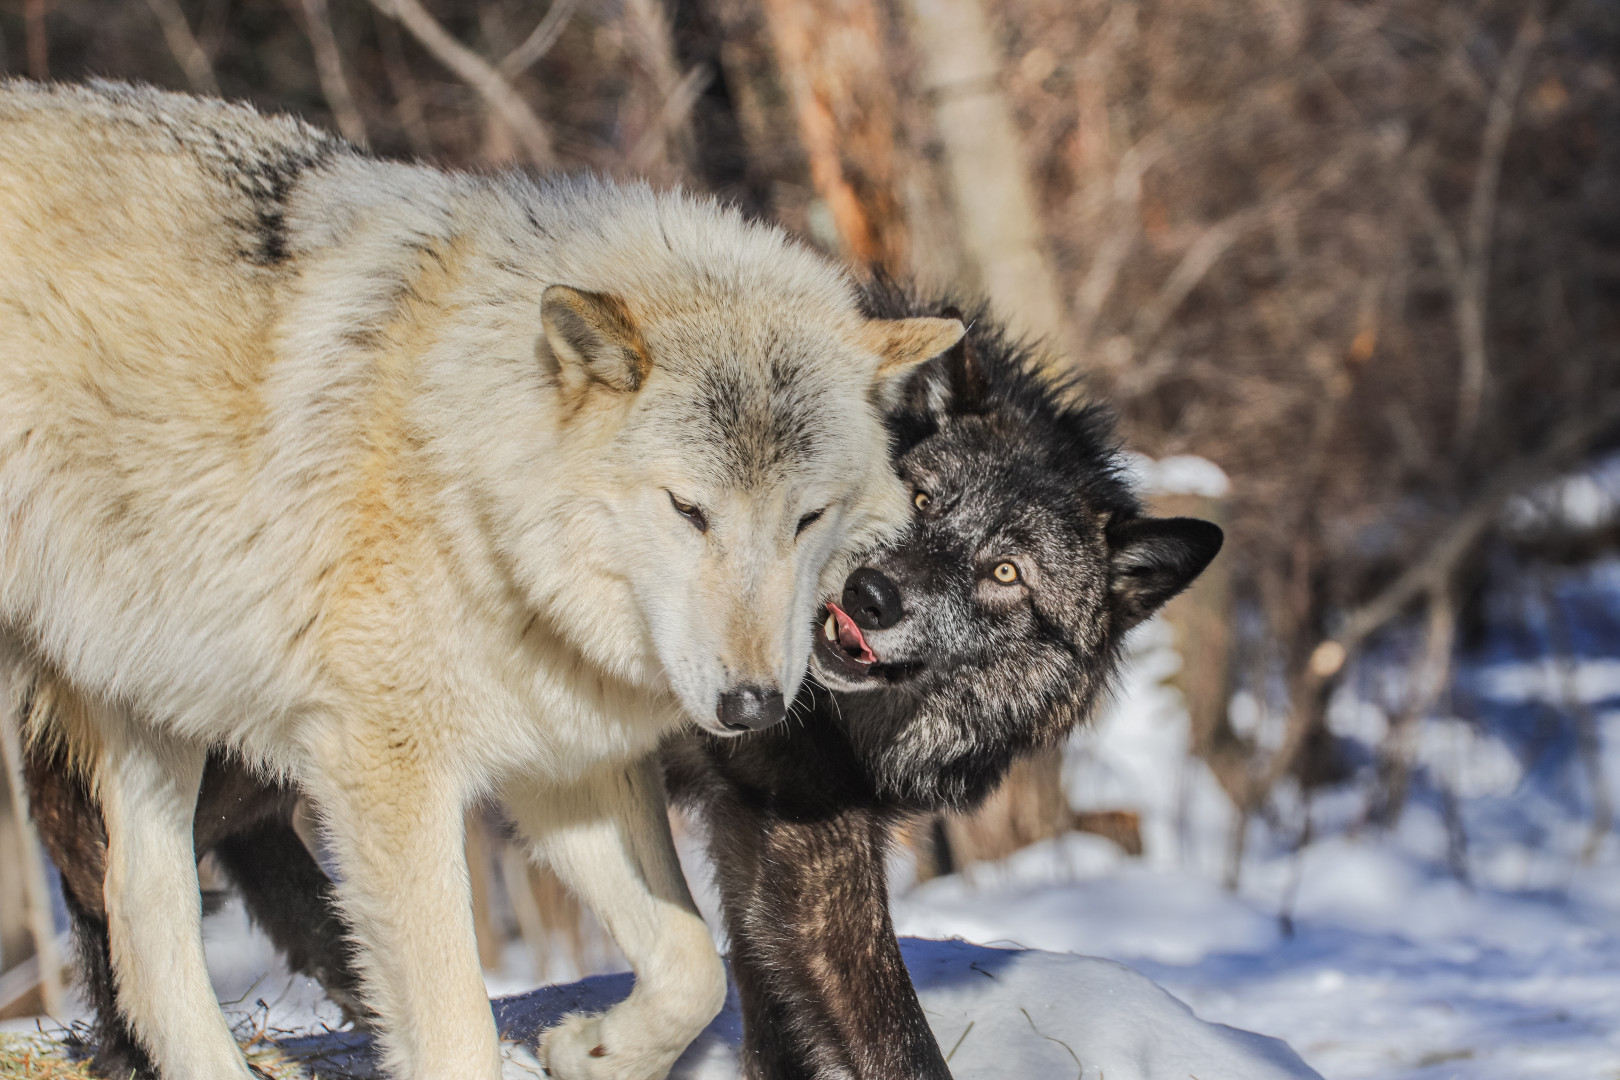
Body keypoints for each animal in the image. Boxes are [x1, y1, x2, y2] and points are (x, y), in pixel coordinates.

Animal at [0, 80, 963, 1080]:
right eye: (688, 509)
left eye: (807, 518)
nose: (751, 706)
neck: (469, 478)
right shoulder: (385, 771)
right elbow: (456, 1027)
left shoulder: (560, 755)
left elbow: (694, 965)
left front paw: (595, 1050)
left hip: (150, 697)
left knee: (143, 918)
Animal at [21, 280, 1219, 1080]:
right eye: (922, 500)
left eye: (1006, 572)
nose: (873, 595)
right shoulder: (807, 840)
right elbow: (897, 1041)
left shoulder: (760, 834)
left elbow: (761, 1008)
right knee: (90, 849)